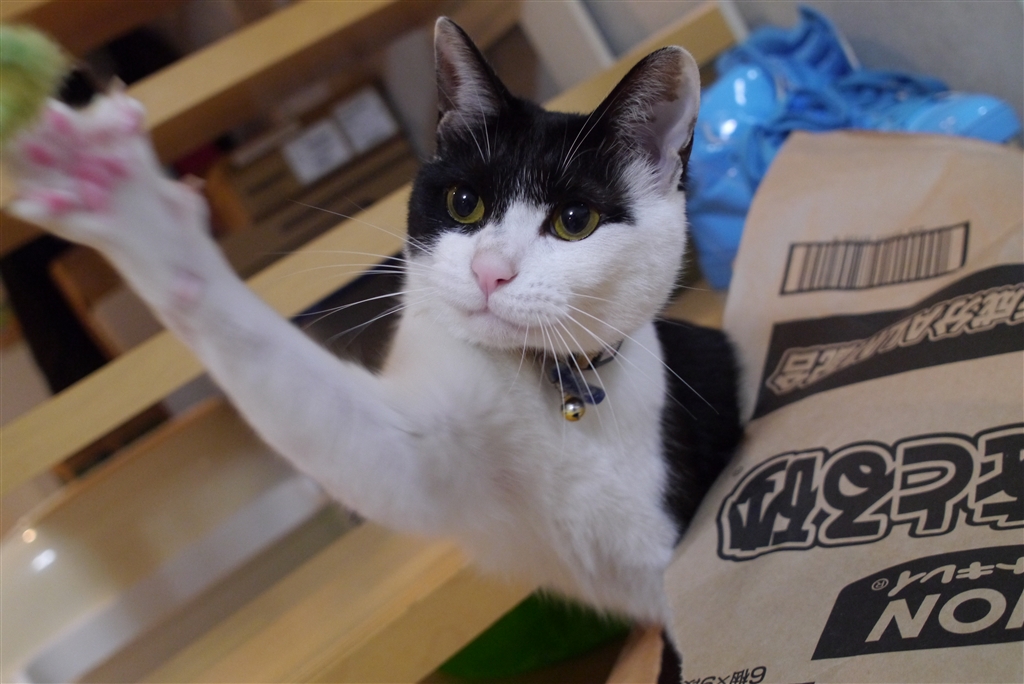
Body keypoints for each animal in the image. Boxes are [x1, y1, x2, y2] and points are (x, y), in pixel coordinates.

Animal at [8, 18, 741, 627]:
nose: (490, 272)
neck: (546, 392)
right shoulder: (416, 450)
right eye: (465, 203)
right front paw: (118, 194)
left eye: (574, 220)